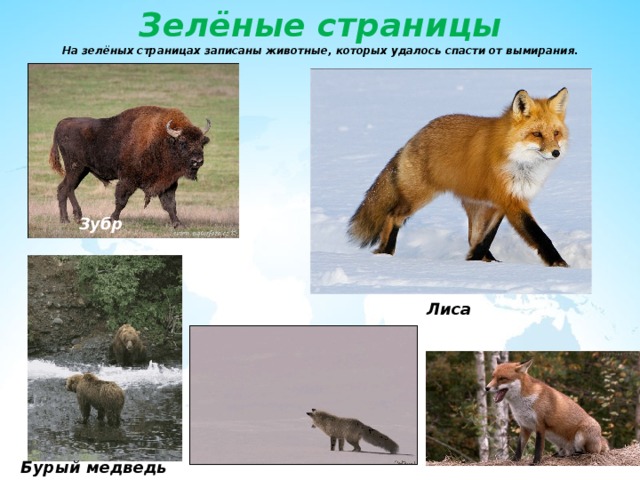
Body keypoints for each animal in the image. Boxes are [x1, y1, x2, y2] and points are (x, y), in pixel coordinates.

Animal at [348, 87, 570, 267]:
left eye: (556, 133)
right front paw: (559, 264)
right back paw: (386, 252)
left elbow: (486, 238)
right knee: (392, 217)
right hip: (418, 198)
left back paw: (486, 259)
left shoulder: (503, 201)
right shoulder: (511, 201)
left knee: (474, 238)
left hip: (478, 205)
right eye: (537, 134)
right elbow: (539, 236)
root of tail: (414, 137)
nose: (556, 152)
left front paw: (474, 261)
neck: (519, 162)